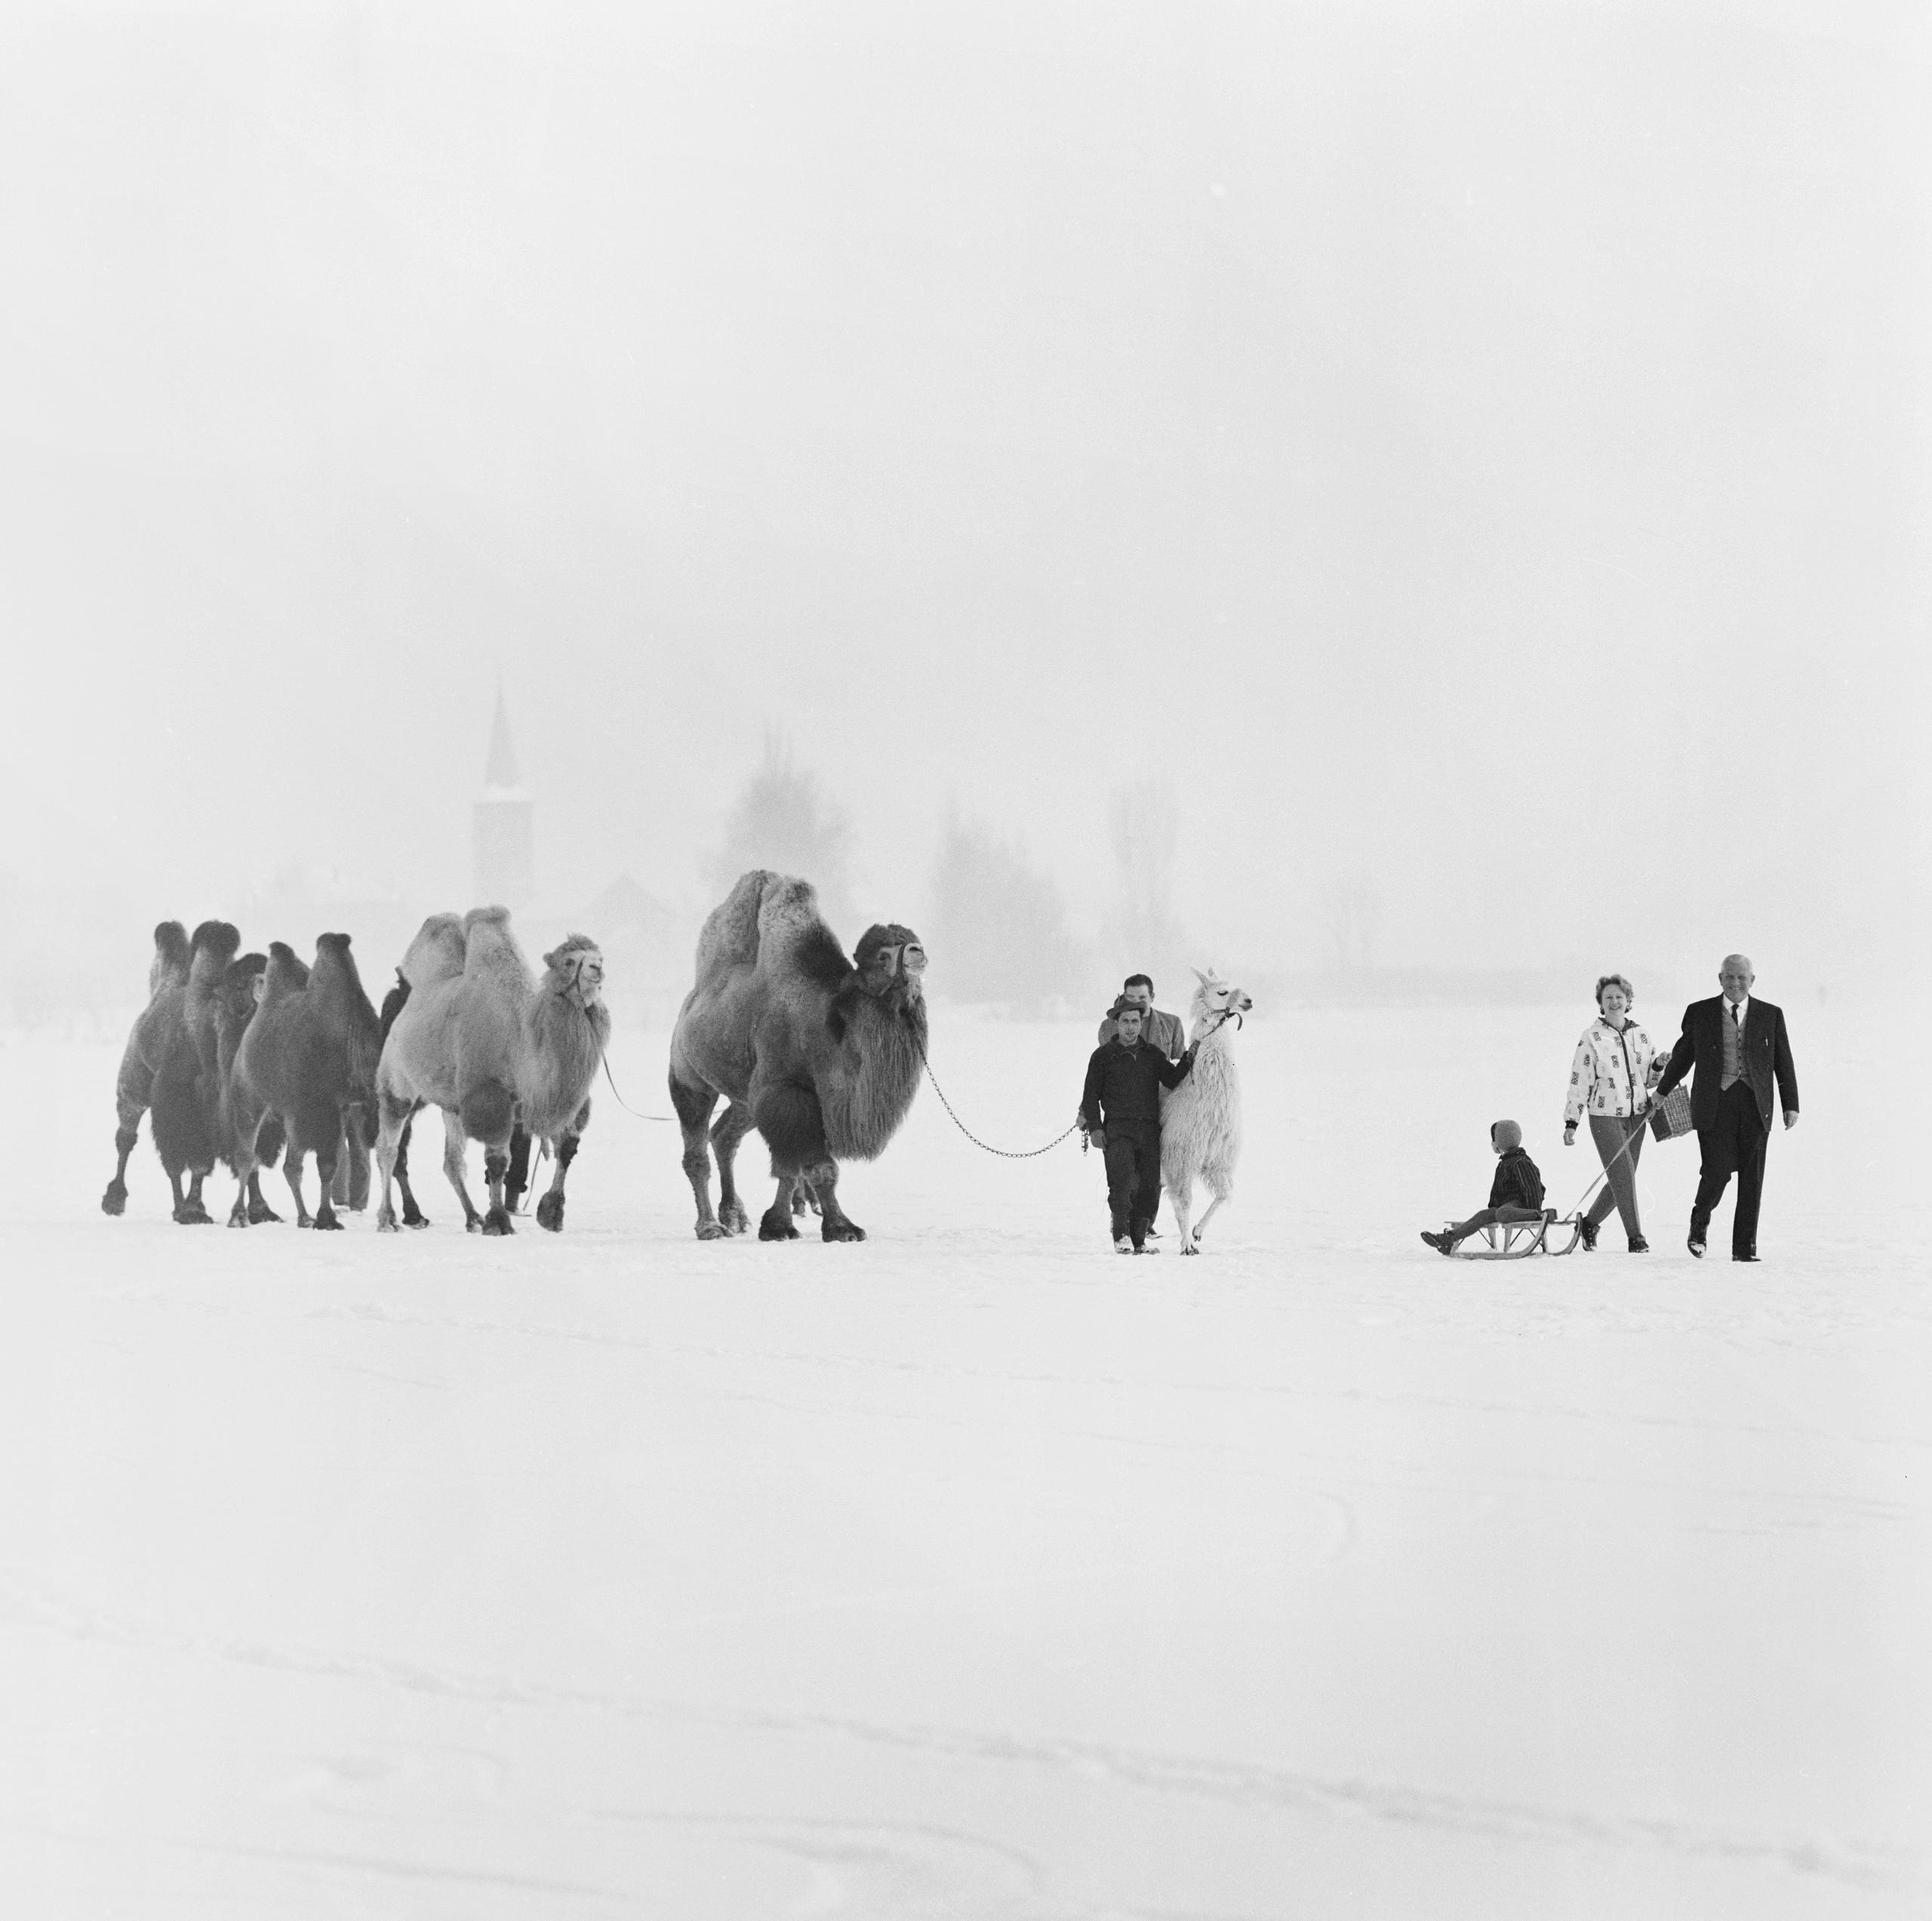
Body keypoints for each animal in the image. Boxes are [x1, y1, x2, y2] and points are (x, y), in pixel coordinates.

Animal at [228, 934, 382, 1235]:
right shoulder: (315, 1107)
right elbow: (319, 1165)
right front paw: (326, 1218)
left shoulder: (336, 1107)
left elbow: (328, 1165)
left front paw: (323, 1218)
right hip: (250, 1096)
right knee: (247, 1157)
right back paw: (238, 1217)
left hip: (290, 1114)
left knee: (290, 1166)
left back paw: (303, 1217)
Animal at [377, 907, 610, 1235]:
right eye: (569, 961)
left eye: (599, 956)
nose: (596, 969)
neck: (521, 1040)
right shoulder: (491, 1096)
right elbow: (498, 1160)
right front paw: (499, 1222)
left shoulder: (546, 1098)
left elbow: (567, 1145)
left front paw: (551, 1213)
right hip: (397, 1082)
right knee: (388, 1149)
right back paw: (389, 1219)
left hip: (452, 1105)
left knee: (452, 1161)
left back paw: (473, 1217)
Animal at [672, 872, 927, 1243]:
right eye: (883, 955)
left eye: (912, 940)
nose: (917, 953)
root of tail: (691, 1004)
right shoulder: (787, 1090)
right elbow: (806, 1166)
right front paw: (810, 1227)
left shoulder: (812, 1100)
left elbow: (802, 1167)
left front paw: (818, 1226)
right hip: (687, 1077)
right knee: (696, 1151)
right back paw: (710, 1227)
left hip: (746, 1100)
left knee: (723, 1137)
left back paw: (734, 1216)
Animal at [1159, 969, 1251, 1251]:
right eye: (1222, 991)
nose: (1249, 1001)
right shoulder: (1182, 1157)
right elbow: (1185, 1201)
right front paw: (1187, 1244)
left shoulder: (1216, 1160)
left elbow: (1223, 1195)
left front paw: (1197, 1232)